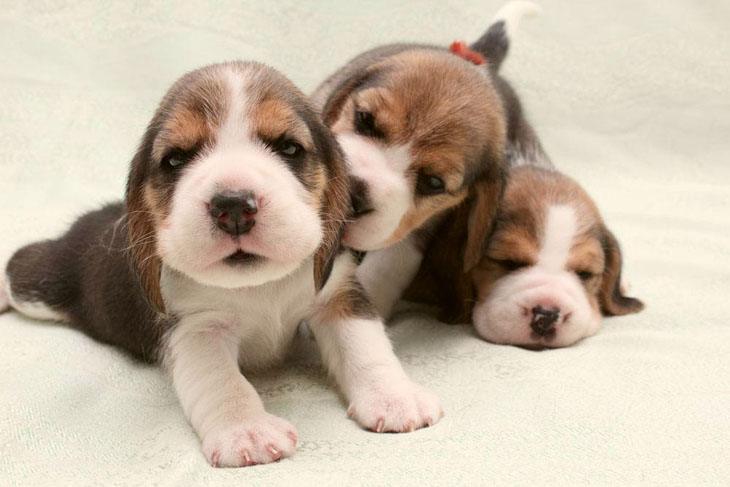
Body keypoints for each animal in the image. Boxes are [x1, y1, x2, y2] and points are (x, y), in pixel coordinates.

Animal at [0, 61, 438, 468]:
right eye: (175, 160)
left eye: (289, 149)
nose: (234, 206)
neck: (259, 286)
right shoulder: (196, 329)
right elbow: (223, 383)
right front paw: (246, 431)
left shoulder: (337, 297)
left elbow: (367, 346)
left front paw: (394, 398)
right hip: (43, 284)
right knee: (18, 267)